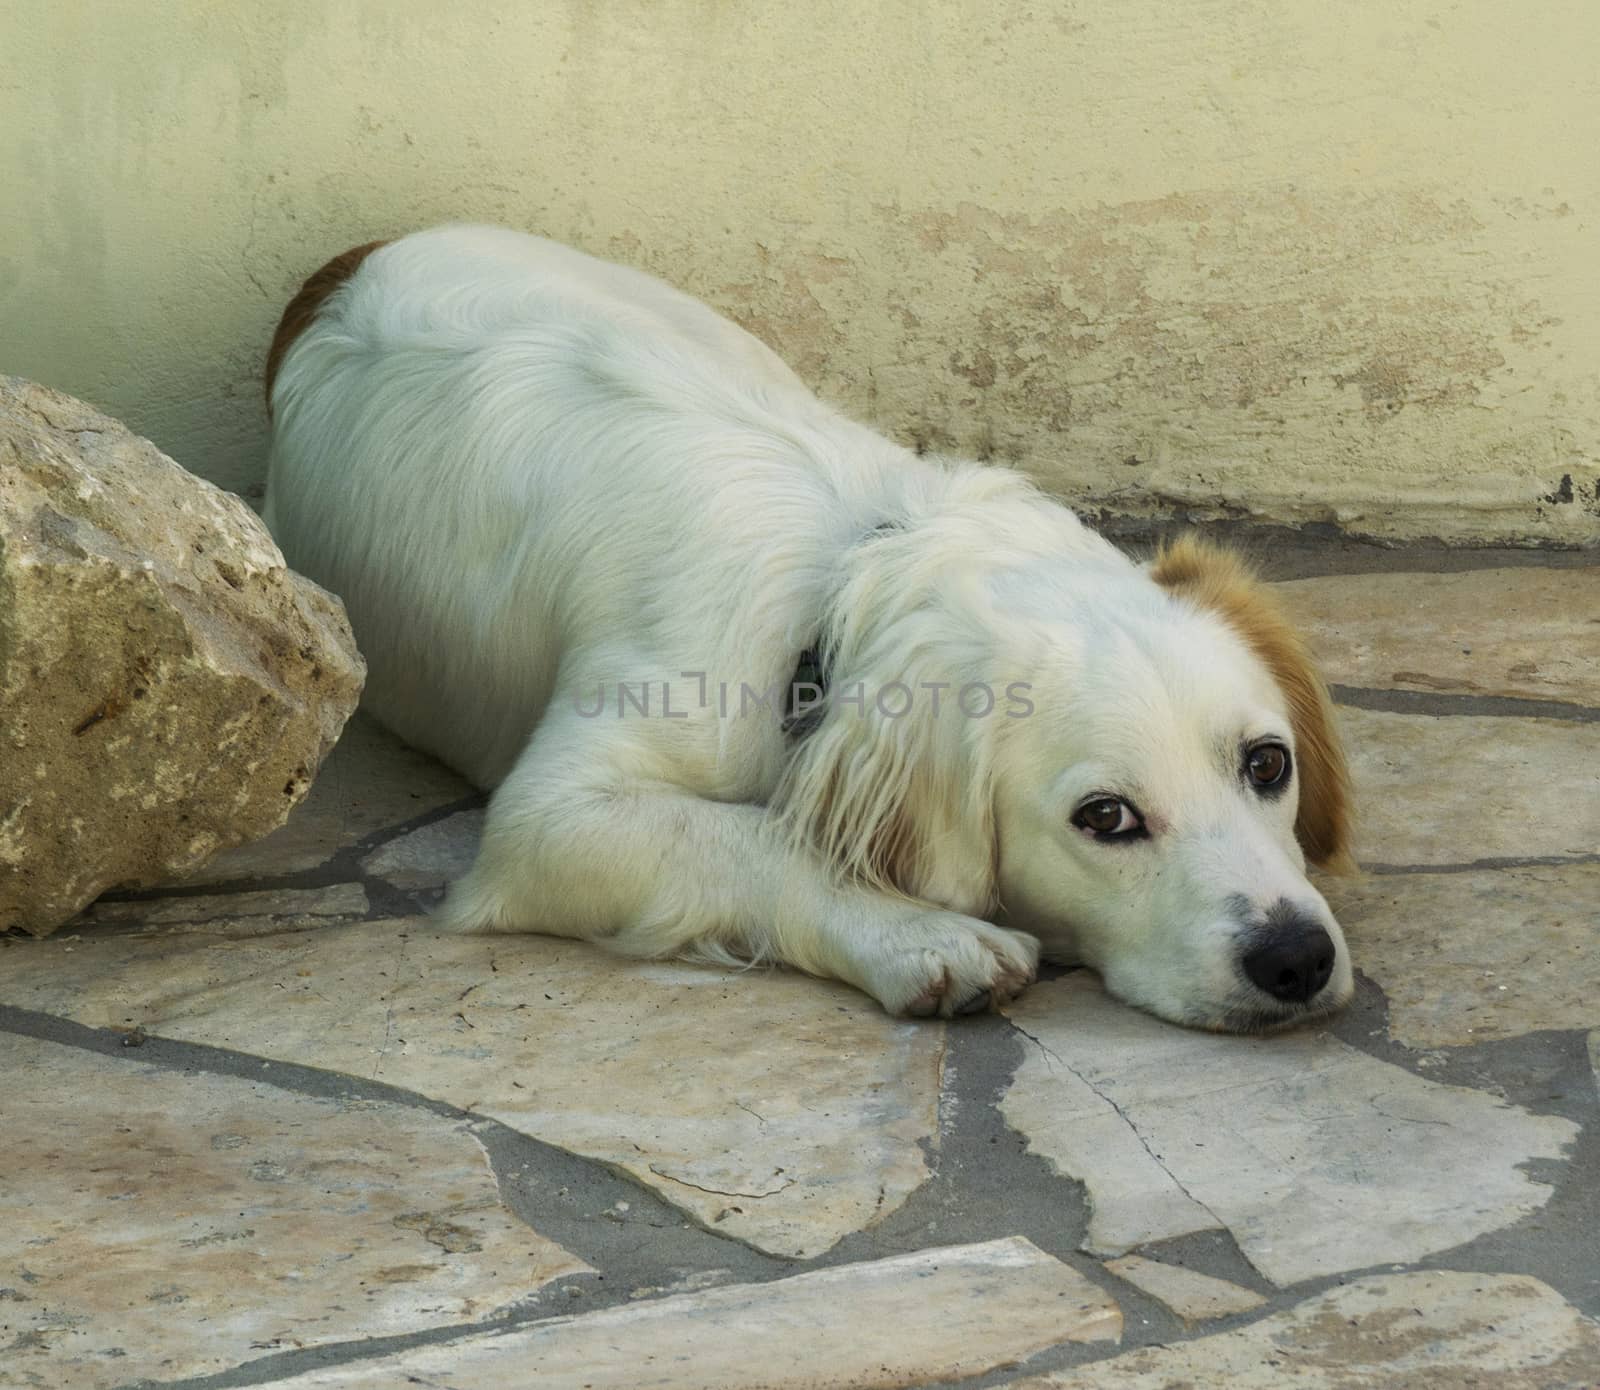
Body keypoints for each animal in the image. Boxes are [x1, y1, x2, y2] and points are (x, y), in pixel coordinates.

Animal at [259, 225, 1350, 1030]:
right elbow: (752, 838)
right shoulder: (549, 816)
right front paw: (923, 936)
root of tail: (338, 269)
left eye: (1267, 764)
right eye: (1106, 818)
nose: (1297, 957)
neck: (846, 575)